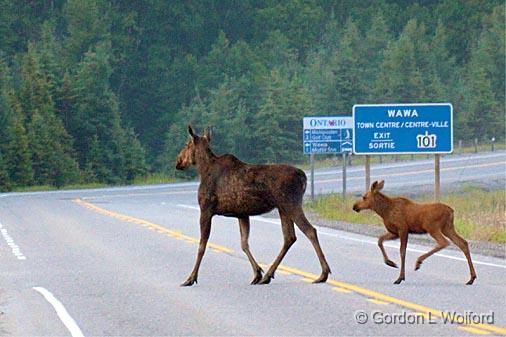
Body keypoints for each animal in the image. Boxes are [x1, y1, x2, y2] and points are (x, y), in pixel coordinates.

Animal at [175, 124, 332, 284]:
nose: (178, 161)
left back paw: (323, 274)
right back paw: (268, 275)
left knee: (310, 230)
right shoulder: (242, 214)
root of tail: (303, 177)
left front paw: (191, 278)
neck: (203, 170)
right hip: (283, 207)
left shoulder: (206, 209)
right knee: (289, 237)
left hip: (291, 203)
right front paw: (257, 273)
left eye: (186, 144)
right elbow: (244, 243)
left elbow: (202, 245)